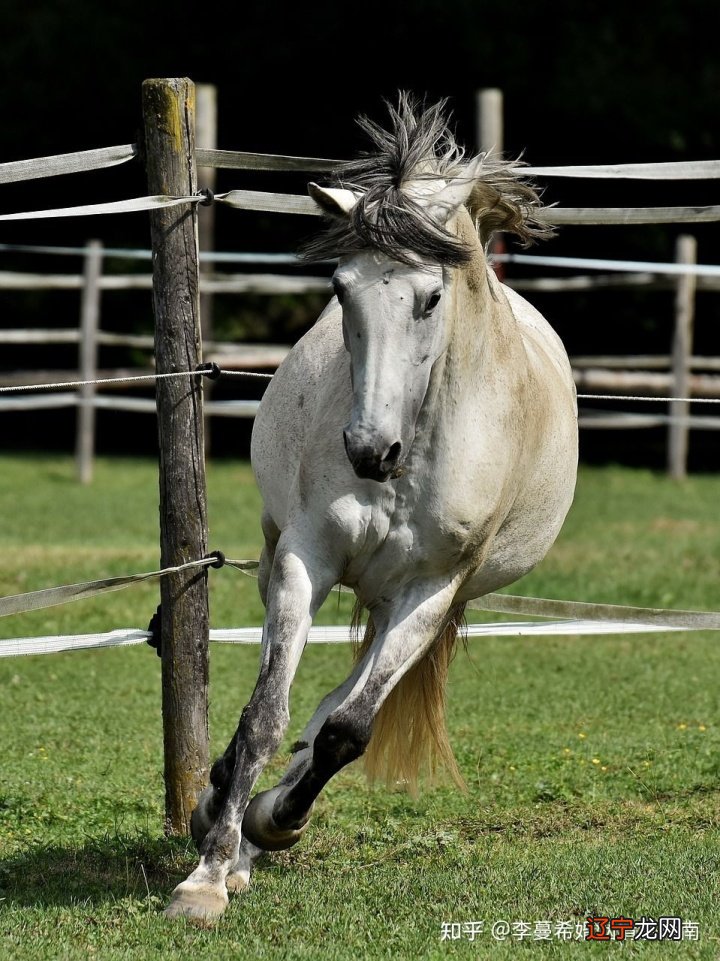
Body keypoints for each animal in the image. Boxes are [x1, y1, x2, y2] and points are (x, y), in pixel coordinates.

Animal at [166, 94, 576, 920]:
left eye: (432, 296)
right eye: (340, 287)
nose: (367, 449)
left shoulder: (432, 589)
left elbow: (348, 728)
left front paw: (273, 821)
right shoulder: (305, 558)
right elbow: (264, 714)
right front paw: (207, 873)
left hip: (408, 605)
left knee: (338, 704)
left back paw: (263, 819)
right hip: (283, 558)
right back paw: (228, 819)